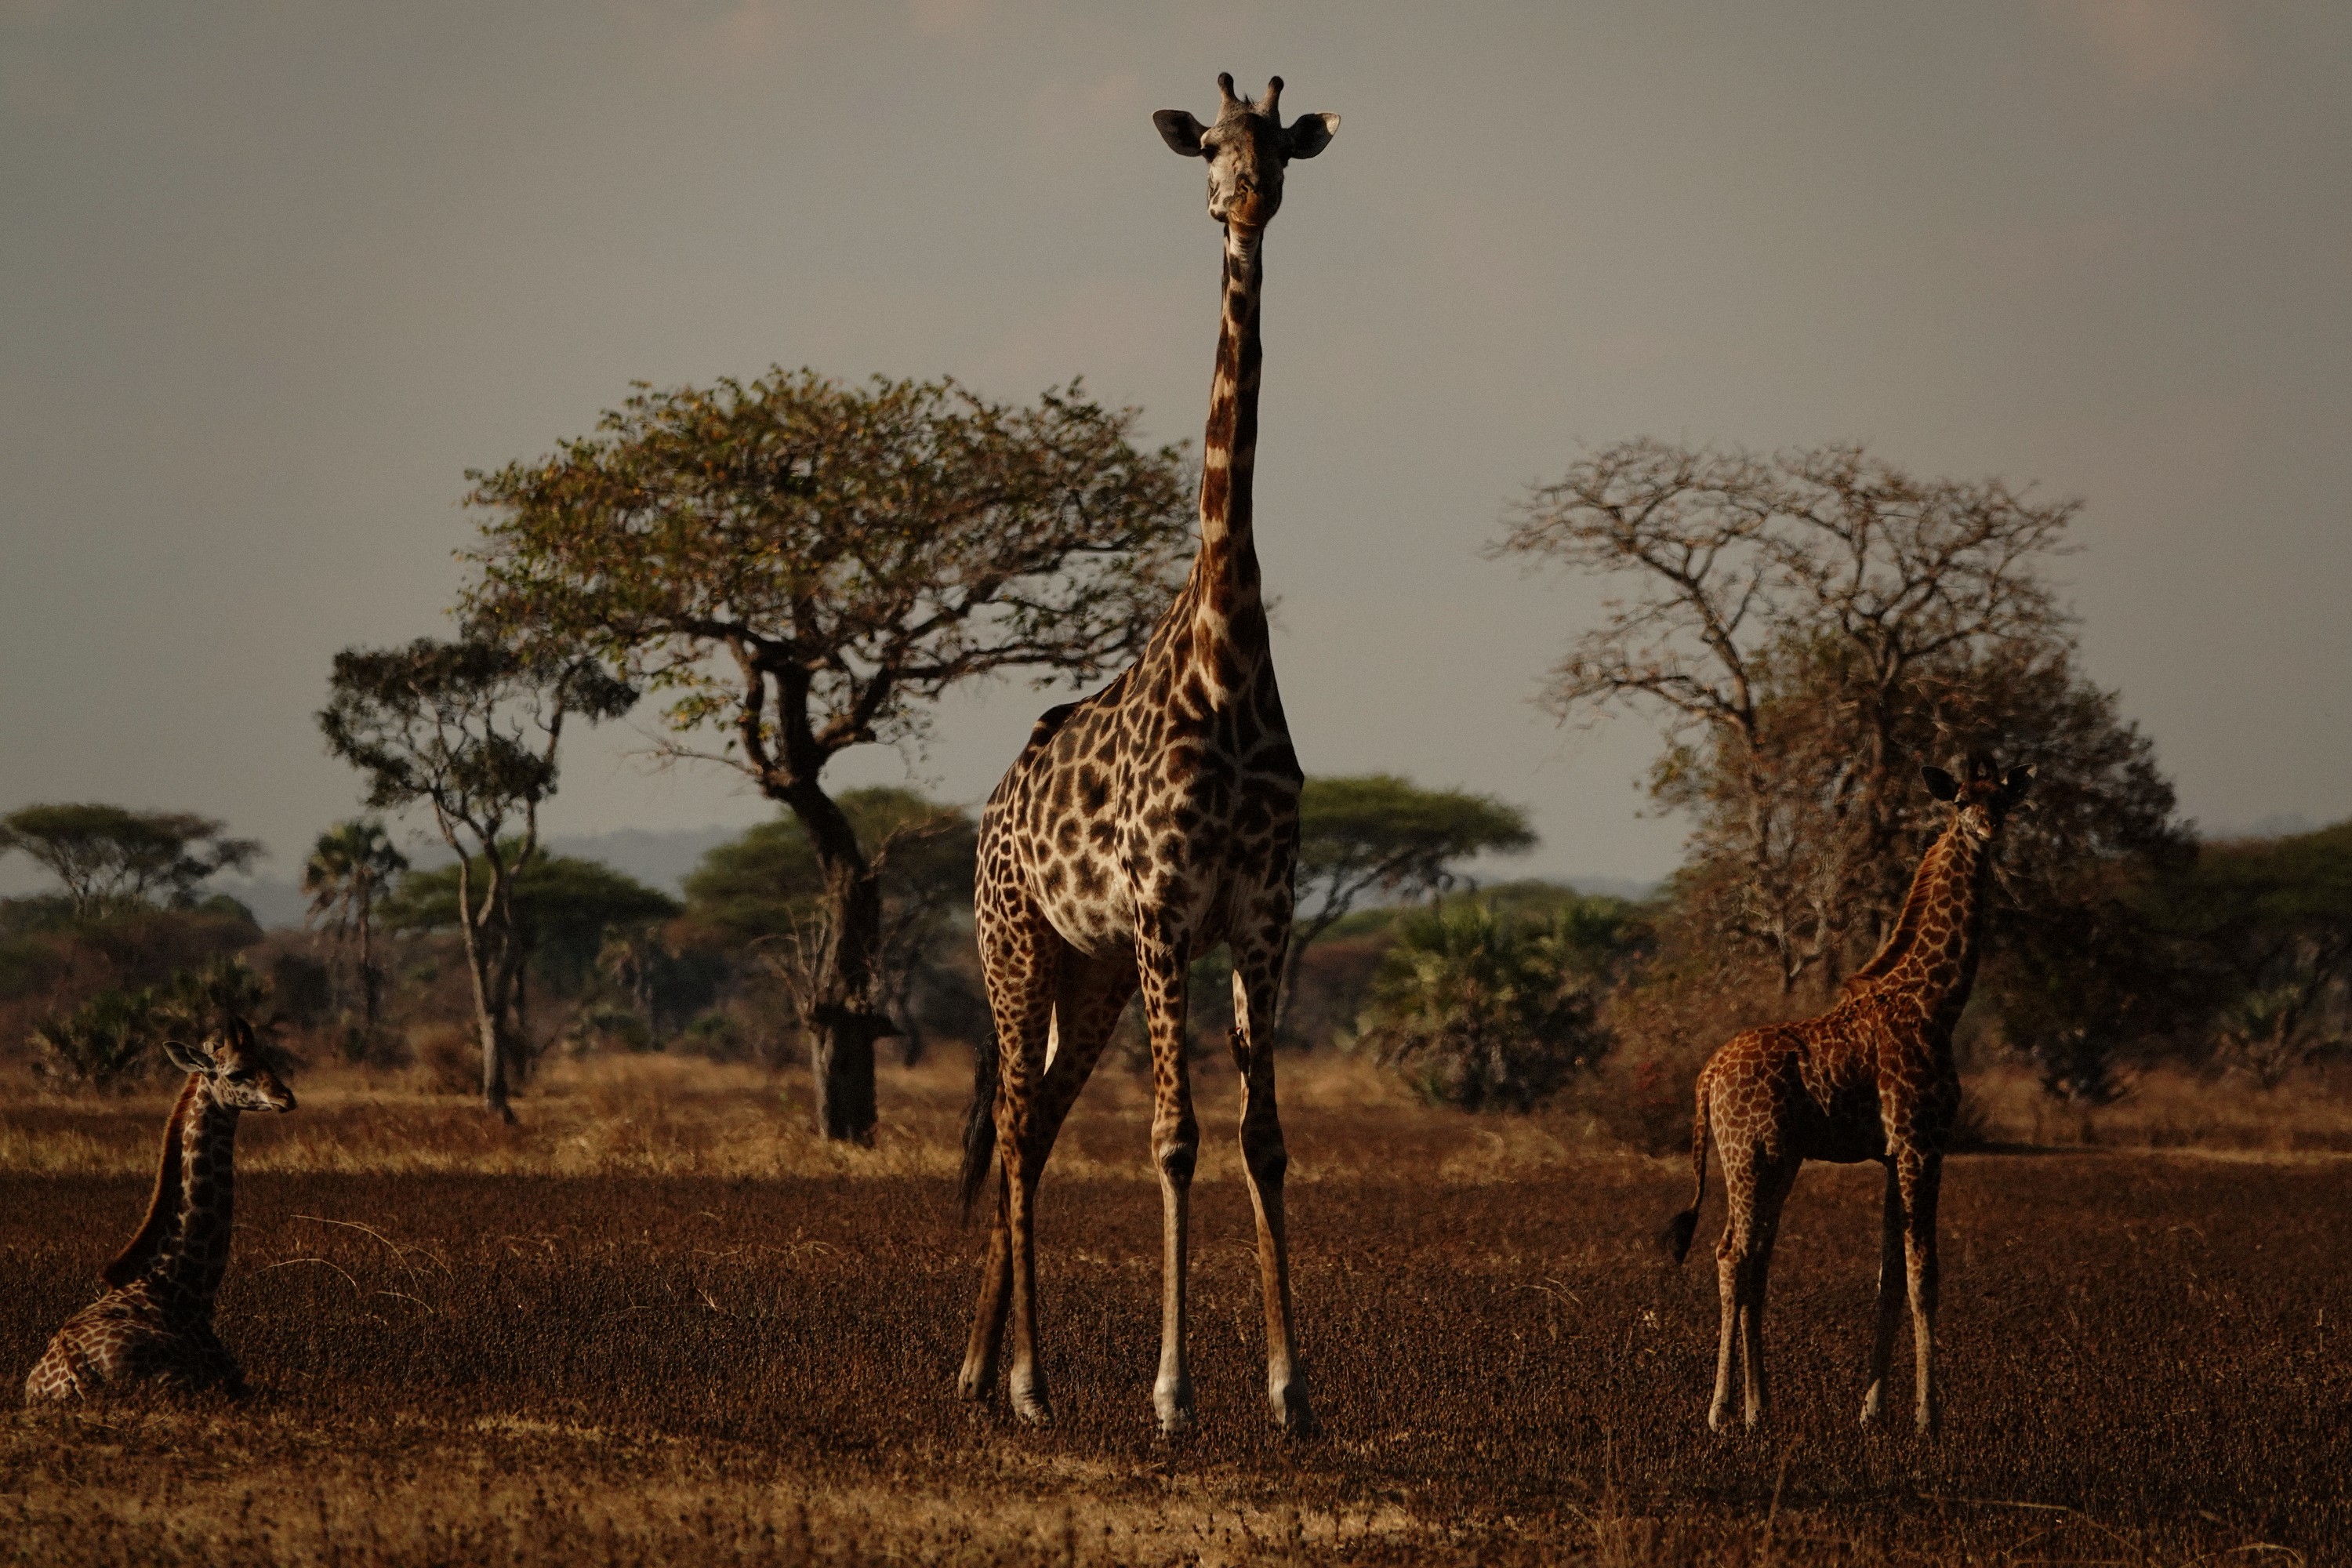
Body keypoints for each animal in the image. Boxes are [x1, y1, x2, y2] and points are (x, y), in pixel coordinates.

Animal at [24, 1018, 295, 1403]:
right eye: (237, 1072)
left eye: (268, 1062)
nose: (286, 1097)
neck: (183, 1286)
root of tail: (75, 1367)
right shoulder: (229, 1377)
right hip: (177, 1383)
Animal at [954, 72, 1338, 1437]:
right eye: (1210, 146)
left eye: (1282, 147)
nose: (1245, 199)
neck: (1227, 654)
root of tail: (991, 810)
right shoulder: (1172, 907)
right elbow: (1174, 1137)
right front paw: (1173, 1393)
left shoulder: (1262, 913)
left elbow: (1264, 1140)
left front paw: (1291, 1390)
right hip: (1017, 947)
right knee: (1018, 1128)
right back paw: (1022, 1380)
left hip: (1094, 971)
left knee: (1039, 1127)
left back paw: (988, 1371)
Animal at [1661, 755, 2035, 1435]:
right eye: (1960, 800)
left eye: (2003, 800)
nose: (1986, 829)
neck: (1936, 1002)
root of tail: (1705, 1077)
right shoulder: (1921, 1144)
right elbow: (1923, 1275)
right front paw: (1929, 1417)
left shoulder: (1893, 1155)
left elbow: (1887, 1278)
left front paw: (1871, 1411)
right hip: (1748, 1155)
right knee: (1732, 1254)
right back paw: (1721, 1411)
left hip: (1777, 1159)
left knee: (1757, 1261)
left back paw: (1759, 1409)